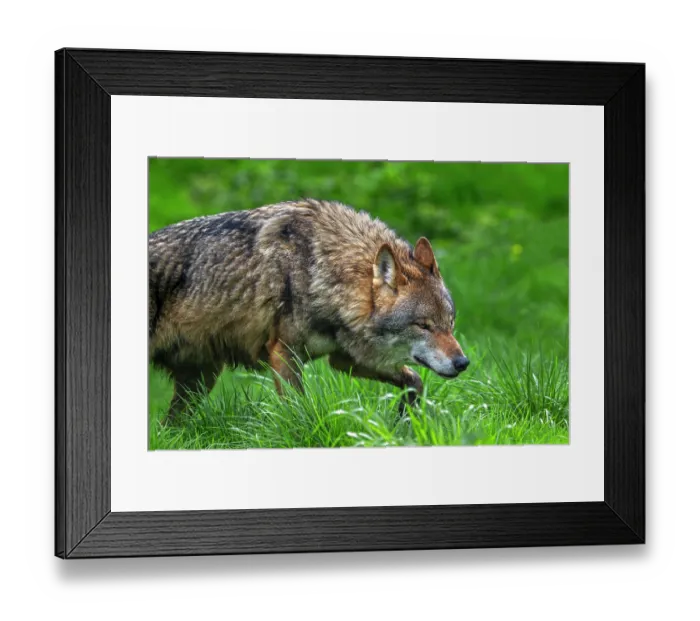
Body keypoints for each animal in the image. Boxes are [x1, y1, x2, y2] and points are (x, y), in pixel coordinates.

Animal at [149, 199, 469, 420]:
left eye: (450, 324)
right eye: (423, 325)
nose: (463, 363)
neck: (318, 266)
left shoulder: (345, 359)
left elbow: (415, 380)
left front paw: (404, 420)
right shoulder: (283, 353)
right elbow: (299, 411)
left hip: (200, 381)